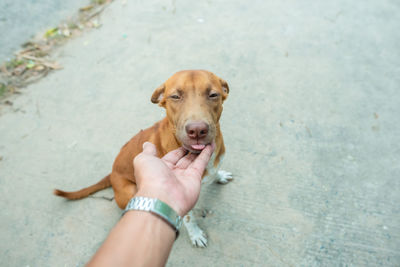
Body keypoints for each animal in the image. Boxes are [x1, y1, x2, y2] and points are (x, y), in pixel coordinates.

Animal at [54, 70, 233, 248]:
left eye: (213, 94)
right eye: (175, 96)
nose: (197, 130)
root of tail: (111, 173)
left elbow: (215, 172)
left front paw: (219, 175)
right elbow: (189, 218)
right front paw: (195, 234)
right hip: (130, 190)